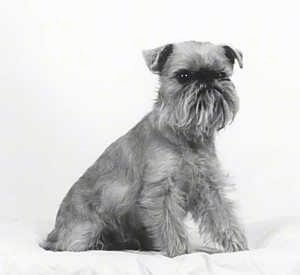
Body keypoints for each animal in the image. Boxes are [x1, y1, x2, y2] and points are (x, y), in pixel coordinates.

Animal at [42, 41, 248, 258]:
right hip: (86, 230)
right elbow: (170, 225)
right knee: (70, 245)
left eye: (220, 74)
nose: (206, 79)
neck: (186, 136)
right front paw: (179, 251)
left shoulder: (209, 186)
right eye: (184, 76)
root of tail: (54, 232)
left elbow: (223, 215)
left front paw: (238, 245)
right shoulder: (161, 191)